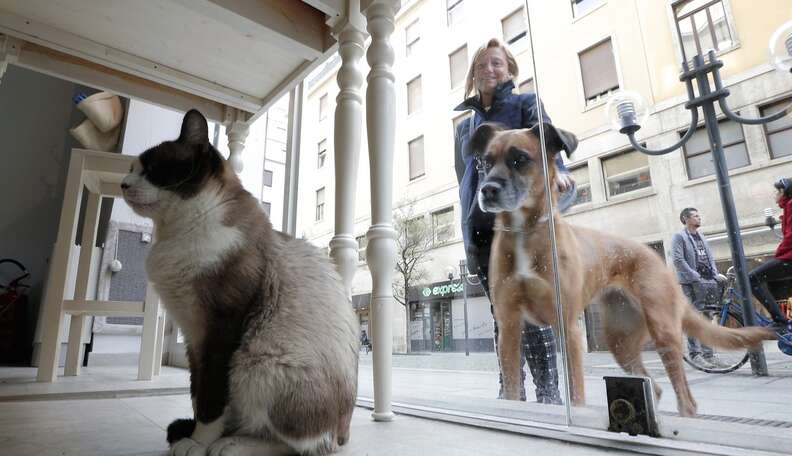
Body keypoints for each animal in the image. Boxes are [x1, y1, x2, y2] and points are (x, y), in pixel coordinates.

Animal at [120, 109, 358, 456]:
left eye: (152, 169)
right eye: (132, 169)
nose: (122, 184)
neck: (174, 232)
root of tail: (344, 432)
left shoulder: (219, 331)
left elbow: (210, 399)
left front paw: (199, 444)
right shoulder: (193, 335)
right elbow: (197, 393)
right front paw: (195, 436)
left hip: (256, 364)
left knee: (303, 445)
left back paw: (231, 445)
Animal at [474, 121, 772, 416]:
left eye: (520, 159)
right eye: (485, 162)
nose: (487, 190)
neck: (524, 230)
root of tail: (654, 256)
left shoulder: (568, 328)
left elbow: (576, 392)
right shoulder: (509, 328)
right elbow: (512, 389)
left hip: (662, 331)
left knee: (684, 396)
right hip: (620, 341)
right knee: (654, 386)